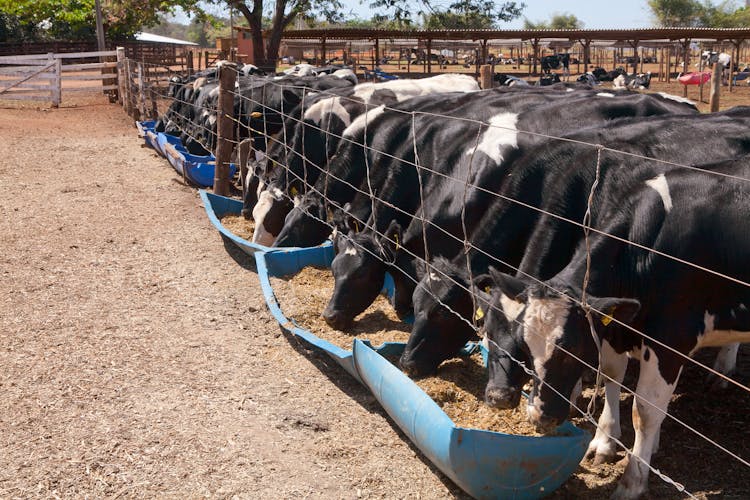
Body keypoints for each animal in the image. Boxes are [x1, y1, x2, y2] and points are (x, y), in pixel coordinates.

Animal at [494, 155, 750, 496]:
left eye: (570, 350)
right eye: (524, 346)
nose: (539, 416)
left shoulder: (671, 340)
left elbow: (645, 412)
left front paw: (632, 480)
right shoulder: (614, 326)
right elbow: (612, 376)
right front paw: (604, 441)